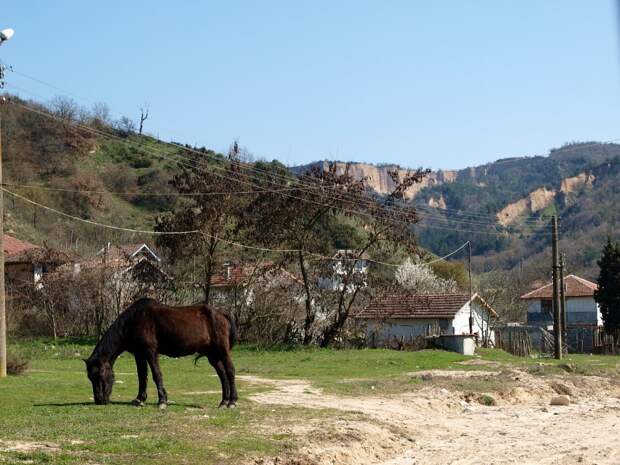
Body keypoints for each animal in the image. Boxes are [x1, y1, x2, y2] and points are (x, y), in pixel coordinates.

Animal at [84, 297, 238, 409]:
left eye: (99, 375)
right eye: (90, 377)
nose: (99, 400)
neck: (134, 320)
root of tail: (221, 314)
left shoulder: (150, 351)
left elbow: (156, 374)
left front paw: (162, 401)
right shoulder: (139, 354)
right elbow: (142, 376)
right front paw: (140, 399)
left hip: (222, 351)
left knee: (230, 371)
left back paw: (232, 401)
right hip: (212, 355)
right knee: (222, 374)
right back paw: (224, 401)